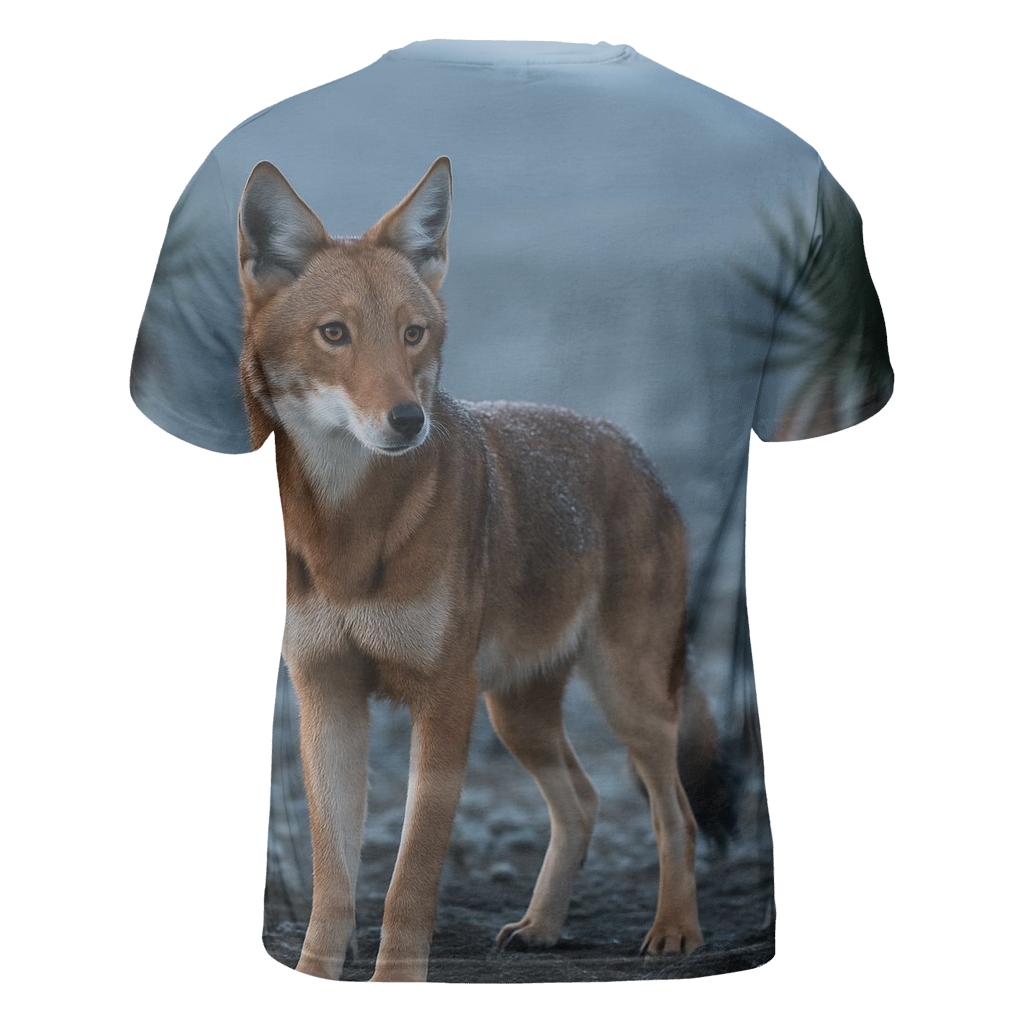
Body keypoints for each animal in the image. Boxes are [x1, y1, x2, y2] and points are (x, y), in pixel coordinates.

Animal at [238, 157, 724, 981]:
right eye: (334, 334)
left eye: (413, 334)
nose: (408, 419)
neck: (346, 533)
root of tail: (631, 448)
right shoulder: (326, 698)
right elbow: (335, 879)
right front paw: (315, 974)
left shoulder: (443, 700)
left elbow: (410, 877)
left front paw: (396, 980)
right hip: (517, 713)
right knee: (584, 802)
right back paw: (541, 926)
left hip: (627, 700)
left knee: (674, 815)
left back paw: (674, 931)